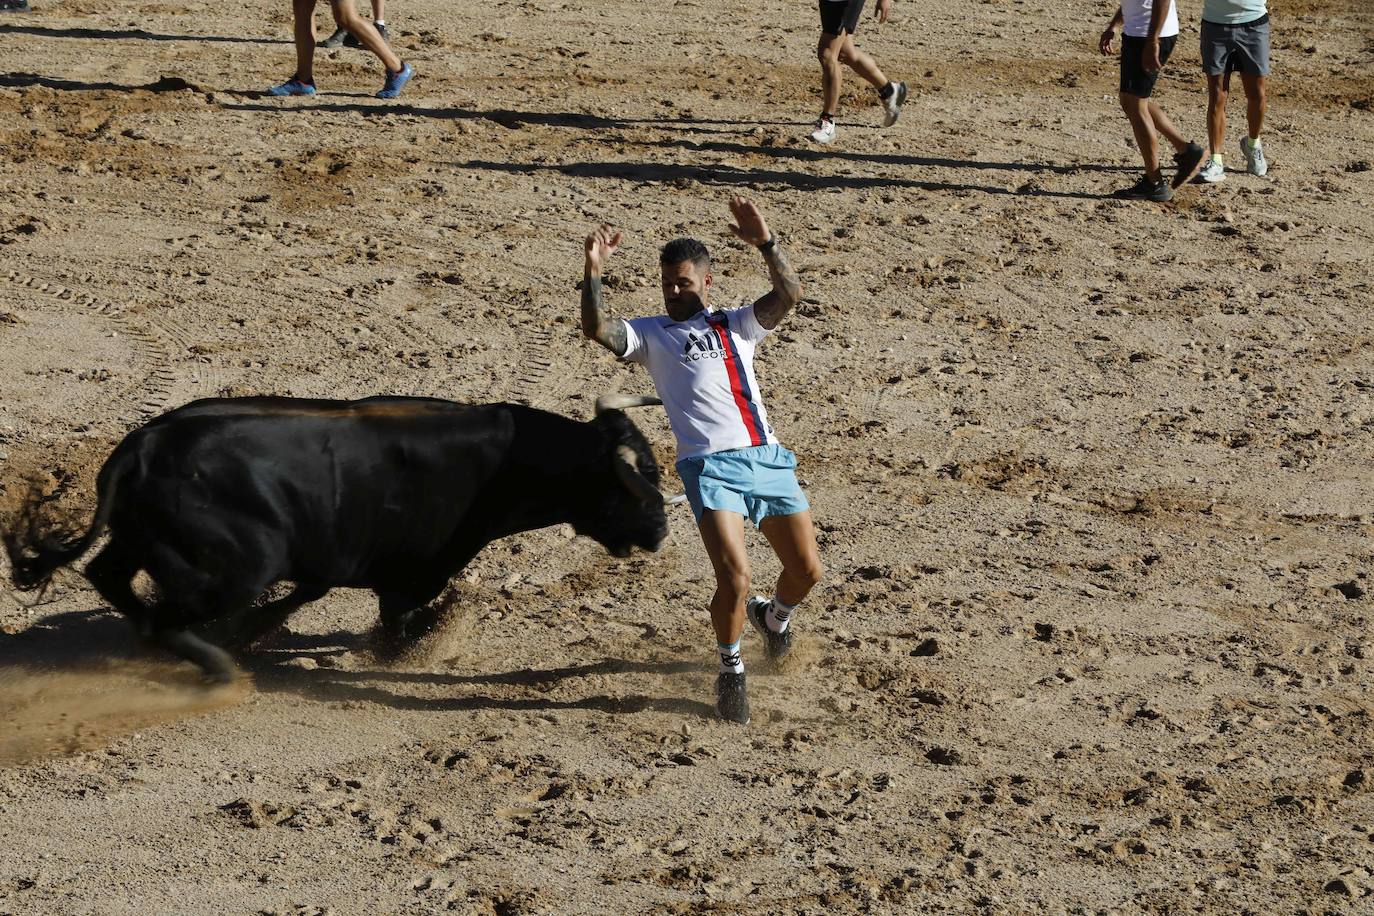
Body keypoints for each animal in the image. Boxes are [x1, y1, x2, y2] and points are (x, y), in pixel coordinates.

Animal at [5, 395, 670, 681]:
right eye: (636, 478)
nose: (662, 530)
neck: (508, 462)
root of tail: (140, 446)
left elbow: (311, 593)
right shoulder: (412, 574)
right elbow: (395, 624)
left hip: (144, 543)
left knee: (110, 578)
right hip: (235, 566)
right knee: (168, 613)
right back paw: (216, 664)